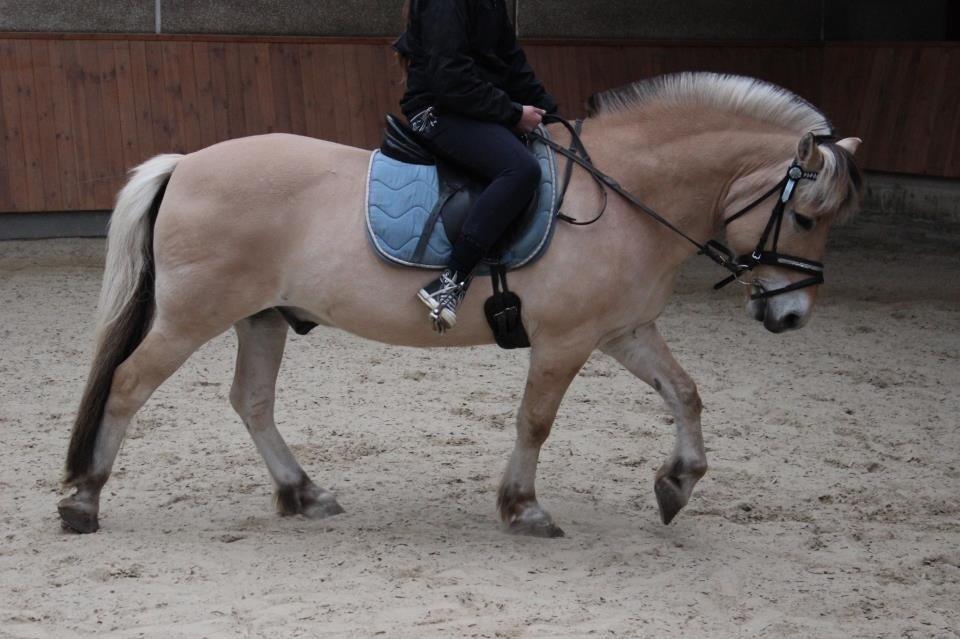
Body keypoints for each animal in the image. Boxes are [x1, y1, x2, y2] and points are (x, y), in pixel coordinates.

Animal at [58, 72, 864, 536]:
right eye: (807, 217)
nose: (790, 316)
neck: (625, 194)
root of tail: (185, 164)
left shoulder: (624, 330)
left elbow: (686, 393)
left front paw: (677, 483)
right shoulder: (566, 340)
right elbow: (536, 421)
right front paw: (523, 505)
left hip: (262, 317)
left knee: (251, 401)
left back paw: (303, 491)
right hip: (193, 314)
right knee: (127, 384)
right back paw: (83, 501)